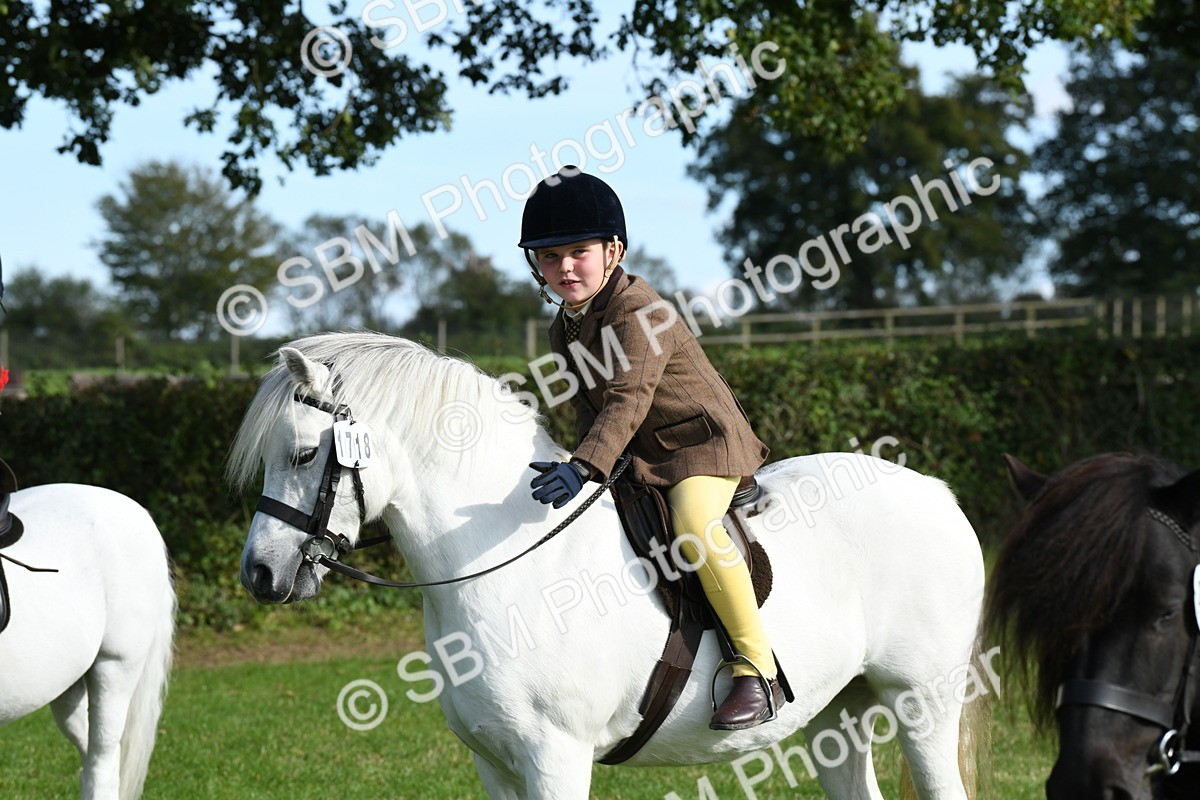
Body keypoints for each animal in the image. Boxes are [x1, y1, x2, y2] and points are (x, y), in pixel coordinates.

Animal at [227, 331, 989, 799]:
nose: (259, 573)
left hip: (922, 699)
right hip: (838, 712)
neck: (502, 560)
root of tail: (936, 492)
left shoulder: (554, 759)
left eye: (304, 454)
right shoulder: (493, 765)